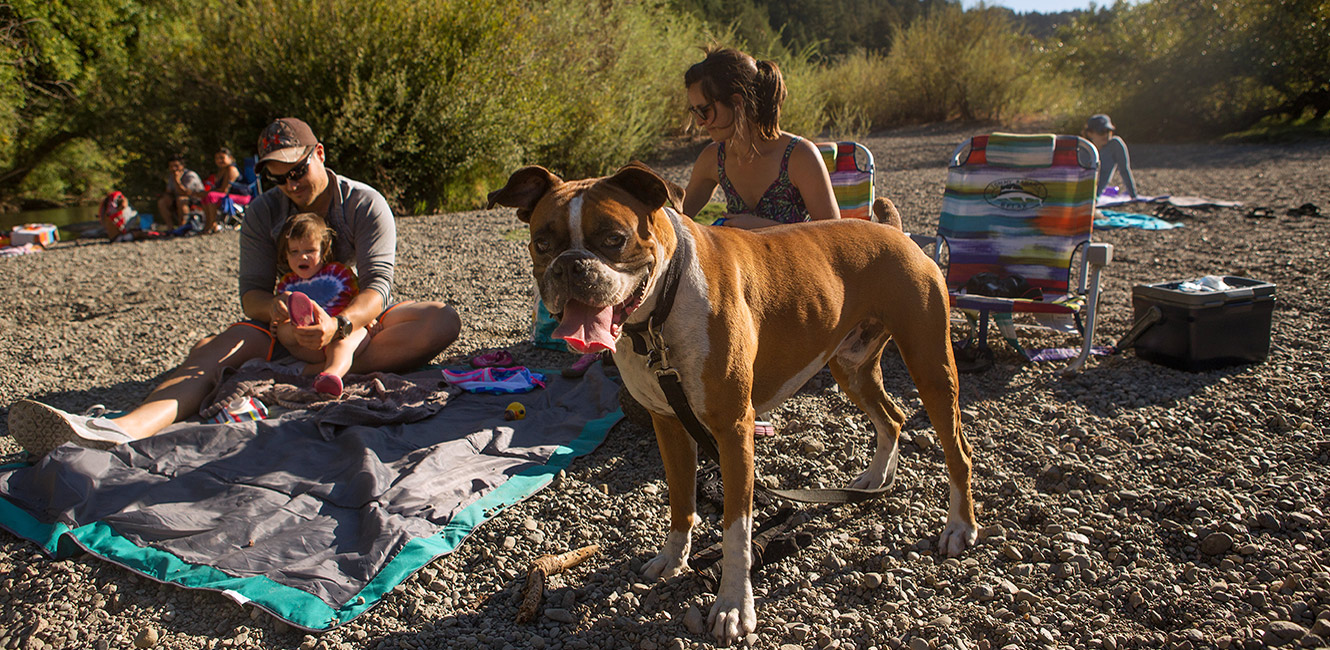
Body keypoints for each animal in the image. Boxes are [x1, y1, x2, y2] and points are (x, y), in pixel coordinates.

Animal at [492, 163, 978, 643]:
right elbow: (681, 501)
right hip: (852, 368)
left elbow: (736, 531)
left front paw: (732, 607)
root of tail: (894, 232)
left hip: (931, 368)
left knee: (958, 451)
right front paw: (673, 559)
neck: (660, 309)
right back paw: (876, 478)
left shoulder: (732, 431)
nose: (570, 266)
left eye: (614, 238)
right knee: (892, 419)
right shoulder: (669, 424)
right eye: (542, 243)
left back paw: (959, 527)